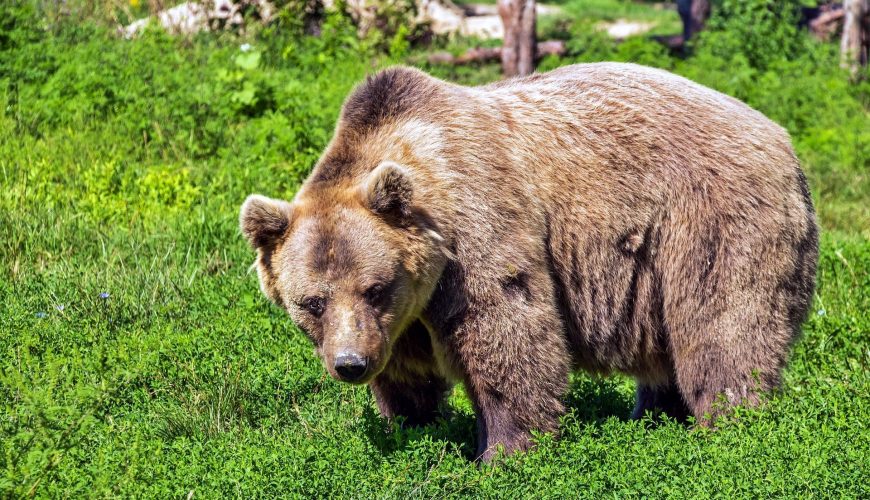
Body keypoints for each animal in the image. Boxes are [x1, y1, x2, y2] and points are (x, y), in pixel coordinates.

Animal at [239, 63, 819, 461]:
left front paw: (503, 452)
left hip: (710, 221)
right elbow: (407, 374)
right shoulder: (401, 319)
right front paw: (412, 426)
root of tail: (782, 137)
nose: (350, 364)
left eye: (374, 287)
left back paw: (729, 426)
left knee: (724, 327)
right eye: (311, 302)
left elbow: (508, 332)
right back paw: (654, 417)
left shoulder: (476, 230)